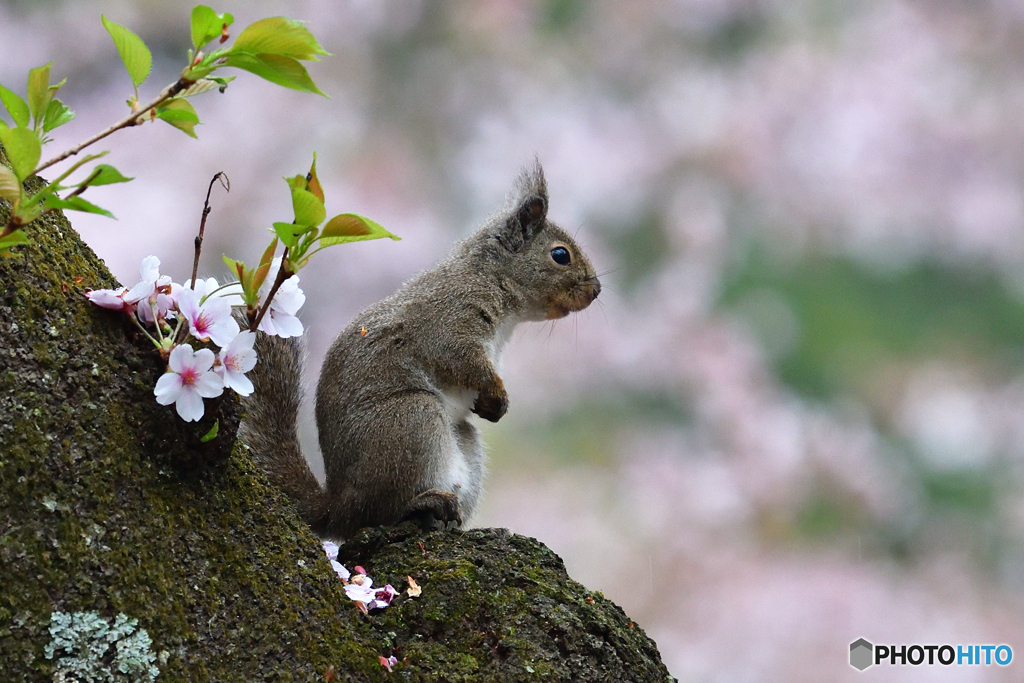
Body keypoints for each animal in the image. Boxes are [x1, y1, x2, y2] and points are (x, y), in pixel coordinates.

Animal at [241, 161, 598, 540]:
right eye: (560, 255)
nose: (597, 290)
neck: (489, 278)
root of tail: (336, 508)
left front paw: (493, 405)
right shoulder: (448, 322)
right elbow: (463, 360)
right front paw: (497, 393)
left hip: (459, 438)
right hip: (412, 418)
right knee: (376, 513)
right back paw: (421, 503)